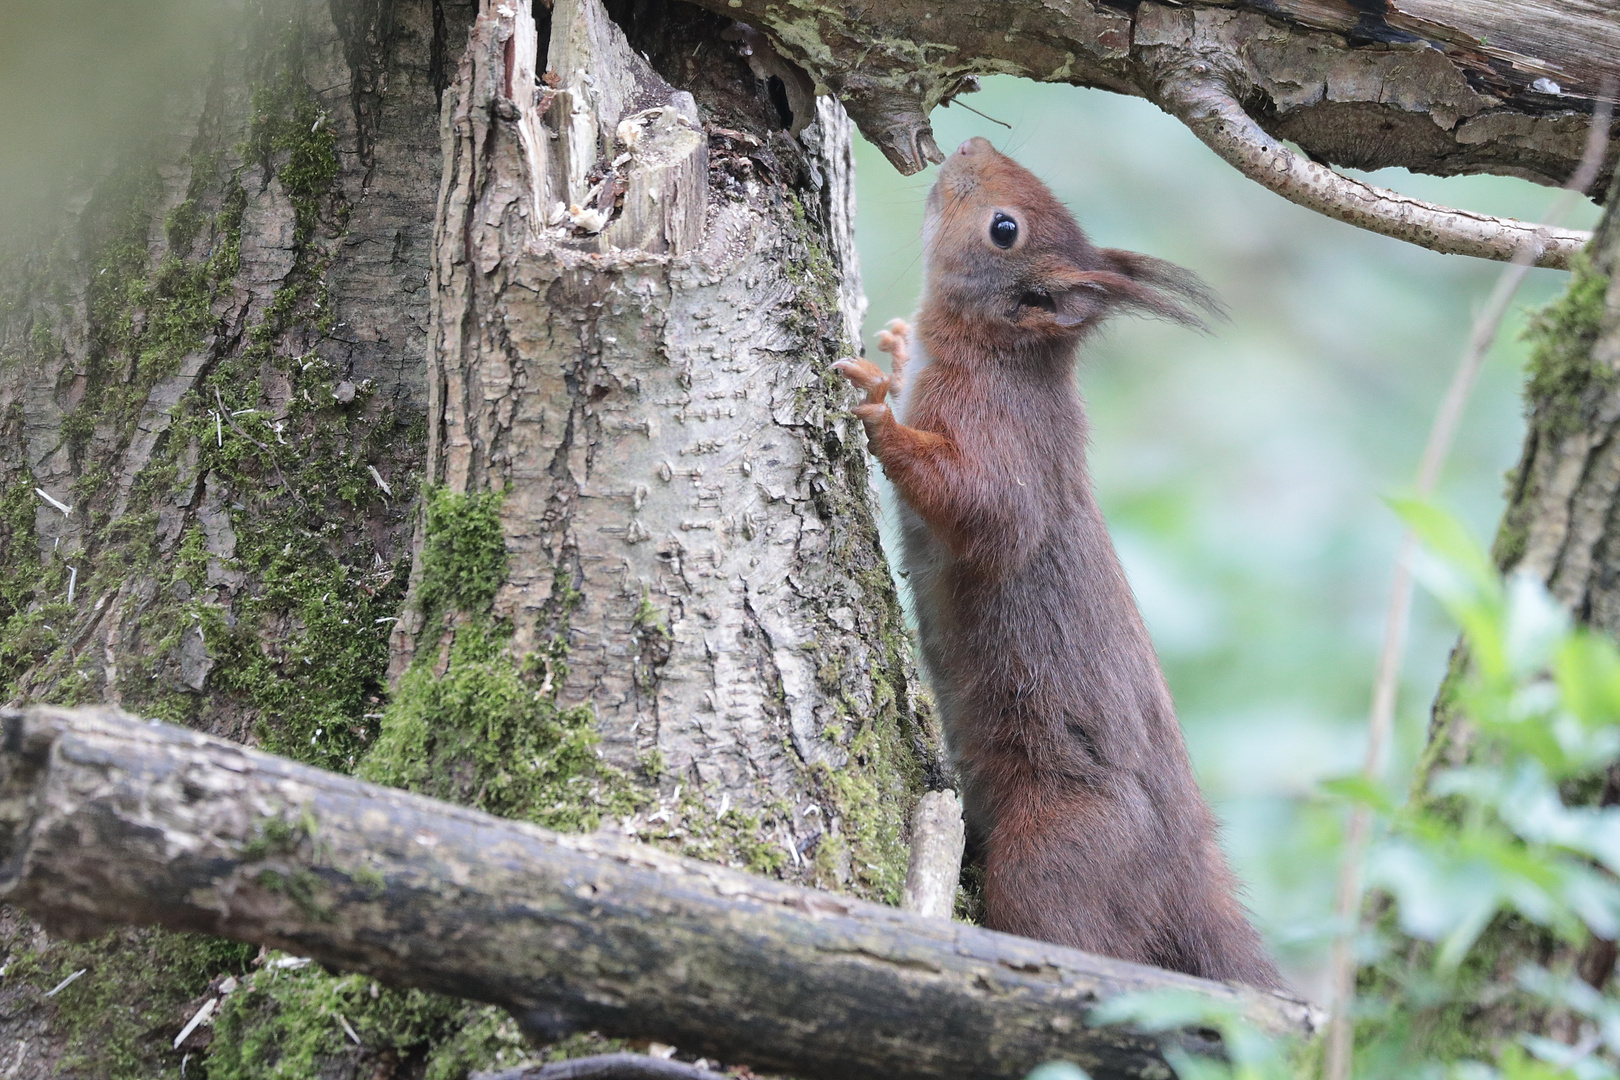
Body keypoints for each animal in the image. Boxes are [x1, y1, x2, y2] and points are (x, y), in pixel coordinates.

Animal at [835, 135, 1276, 990]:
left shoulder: (1009, 448)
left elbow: (985, 513)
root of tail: (1182, 875)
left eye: (1004, 229)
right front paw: (894, 354)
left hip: (1058, 857)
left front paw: (880, 413)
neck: (1007, 360)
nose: (969, 145)